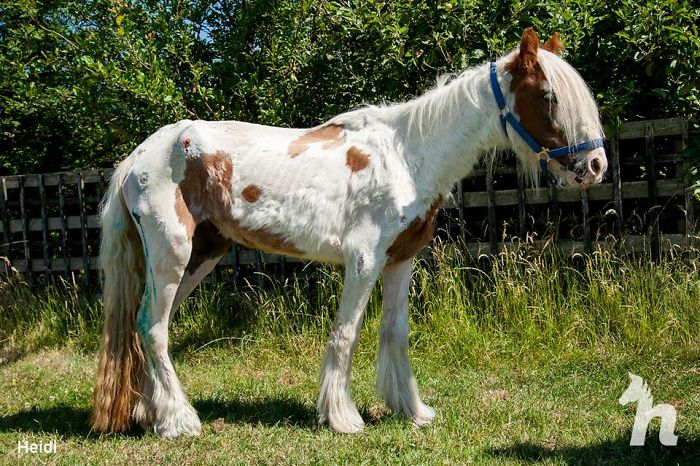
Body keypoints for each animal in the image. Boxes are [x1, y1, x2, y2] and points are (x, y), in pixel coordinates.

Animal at [91, 28, 607, 438]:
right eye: (548, 96)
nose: (595, 165)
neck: (407, 155)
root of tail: (138, 157)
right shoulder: (364, 260)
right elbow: (346, 333)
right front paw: (343, 418)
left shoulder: (401, 261)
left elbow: (395, 333)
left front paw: (412, 410)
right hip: (172, 256)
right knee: (152, 327)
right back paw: (180, 422)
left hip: (200, 257)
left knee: (143, 327)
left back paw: (150, 414)